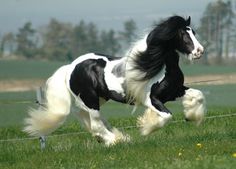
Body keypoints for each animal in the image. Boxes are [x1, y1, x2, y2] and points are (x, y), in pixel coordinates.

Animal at [23, 15, 206, 146]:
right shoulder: (151, 99)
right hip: (91, 100)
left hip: (99, 98)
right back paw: (116, 140)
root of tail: (71, 67)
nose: (199, 51)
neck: (160, 67)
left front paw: (191, 116)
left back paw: (115, 138)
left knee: (89, 118)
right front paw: (146, 127)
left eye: (194, 32)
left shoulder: (175, 91)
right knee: (95, 124)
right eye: (183, 34)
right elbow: (167, 116)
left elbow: (198, 95)